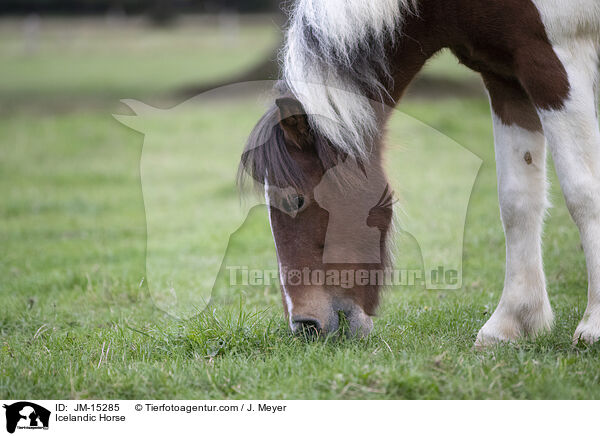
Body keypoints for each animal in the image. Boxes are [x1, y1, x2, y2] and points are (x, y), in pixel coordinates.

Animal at [241, 0, 600, 348]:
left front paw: (593, 326)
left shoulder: (555, 61)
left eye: (296, 200)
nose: (304, 326)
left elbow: (583, 194)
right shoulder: (504, 78)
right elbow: (517, 201)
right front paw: (511, 322)